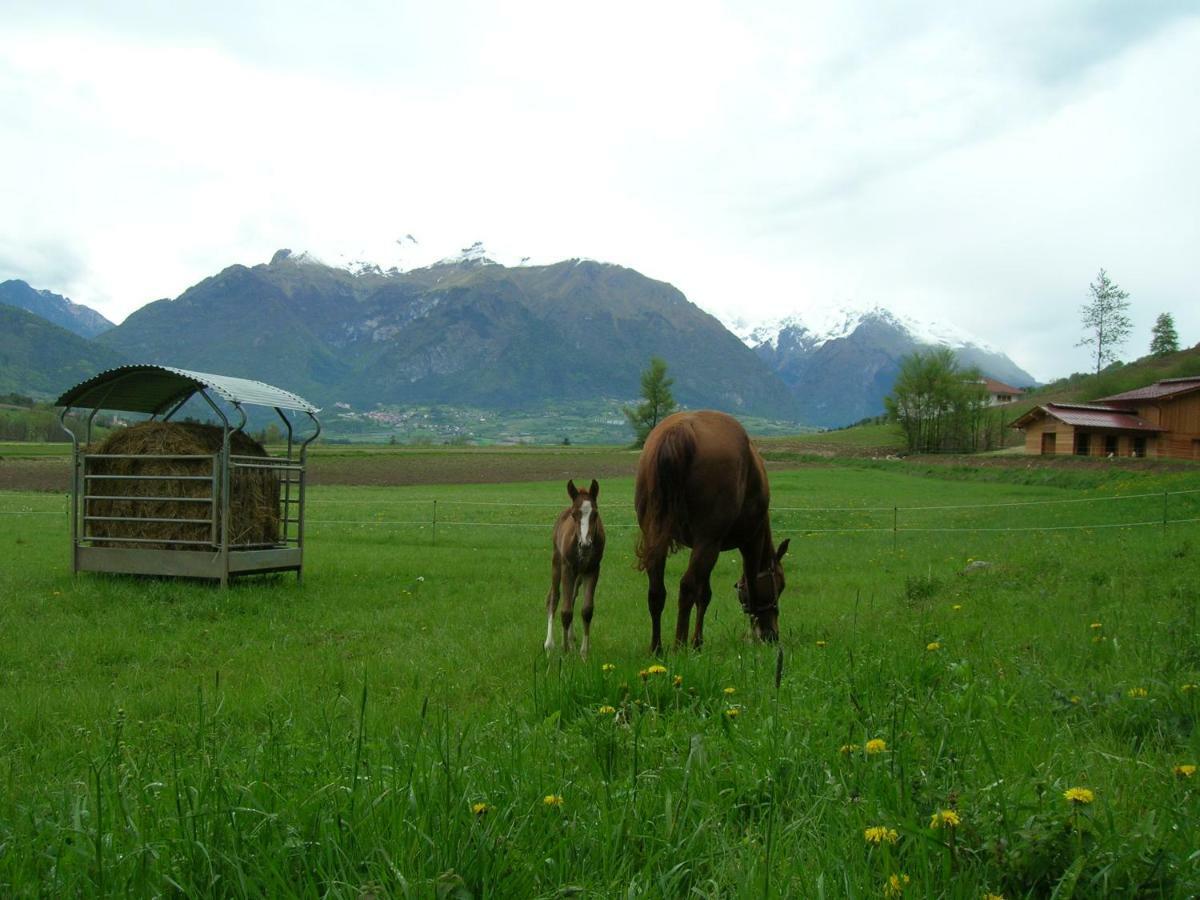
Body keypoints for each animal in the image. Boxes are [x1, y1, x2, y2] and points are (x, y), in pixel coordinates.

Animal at [544, 482, 604, 657]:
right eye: (574, 514)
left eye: (595, 514)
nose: (585, 545)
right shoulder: (567, 568)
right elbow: (565, 611)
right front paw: (564, 651)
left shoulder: (592, 570)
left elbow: (587, 610)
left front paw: (584, 652)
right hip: (557, 564)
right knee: (554, 598)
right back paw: (550, 644)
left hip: (578, 576)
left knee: (571, 598)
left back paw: (571, 641)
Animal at [633, 410, 792, 657]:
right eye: (780, 585)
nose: (772, 634)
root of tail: (681, 430)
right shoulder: (749, 543)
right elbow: (750, 588)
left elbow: (704, 594)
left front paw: (698, 641)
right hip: (708, 541)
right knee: (686, 588)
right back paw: (679, 645)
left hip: (658, 535)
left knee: (657, 591)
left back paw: (657, 648)